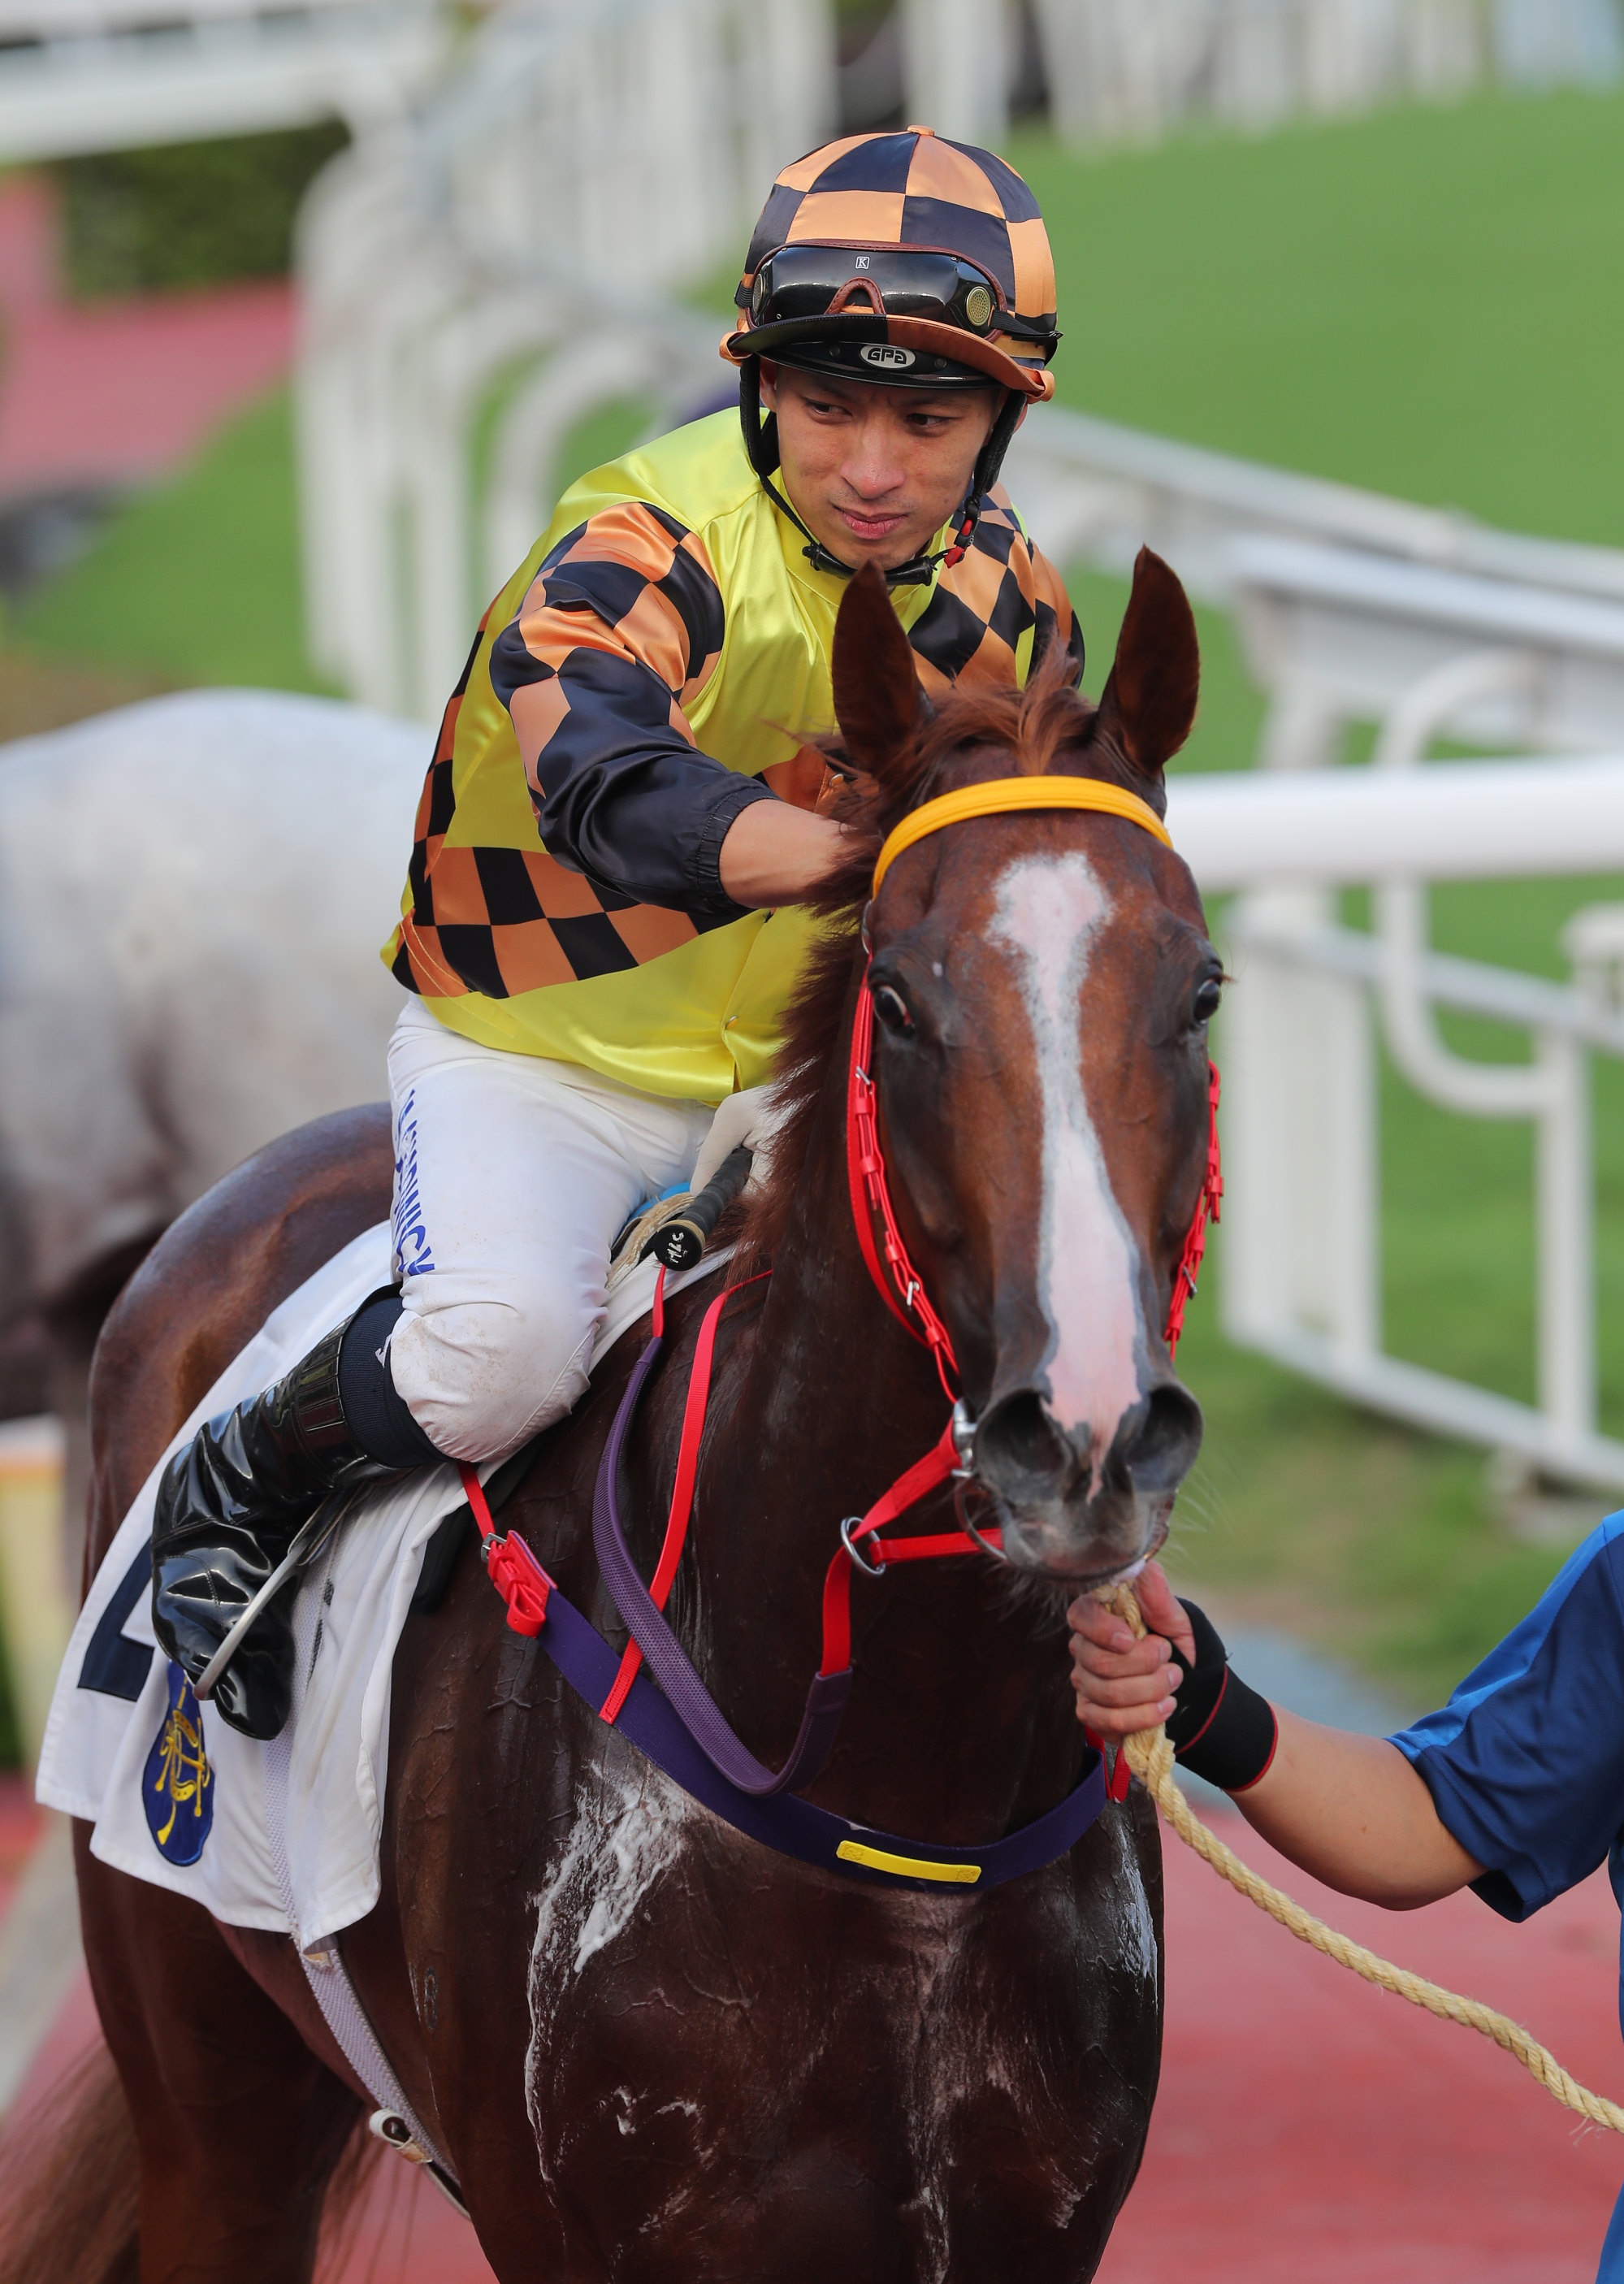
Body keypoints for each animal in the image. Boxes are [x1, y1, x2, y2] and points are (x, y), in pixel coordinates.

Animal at [19, 553, 1223, 2284]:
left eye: (1196, 990)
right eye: (899, 1000)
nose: (1080, 1439)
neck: (894, 1793)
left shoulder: (1030, 2232)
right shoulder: (567, 2226)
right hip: (201, 2082)